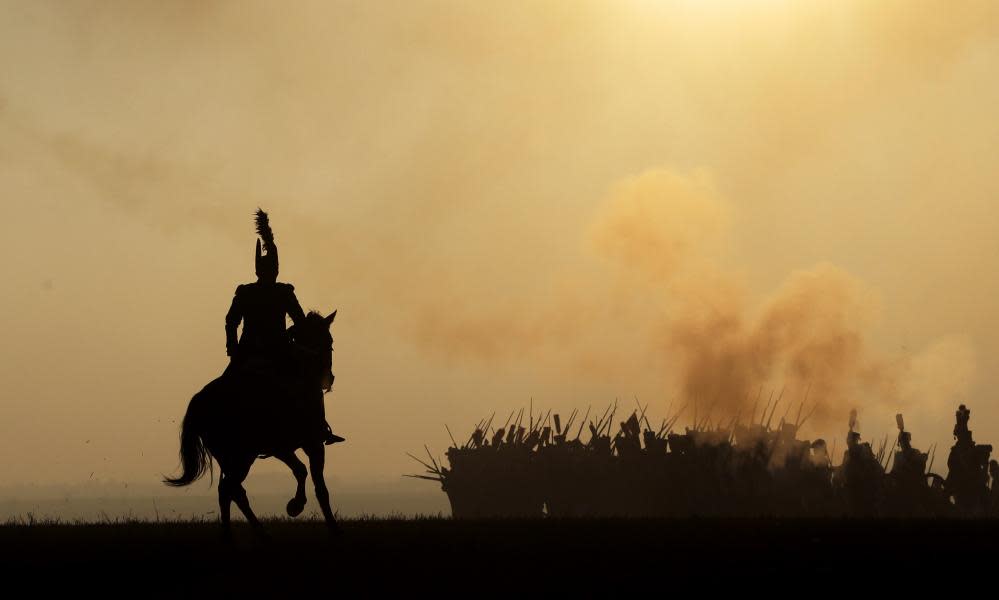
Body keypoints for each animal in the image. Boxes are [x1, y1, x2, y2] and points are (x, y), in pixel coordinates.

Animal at [162, 310, 338, 540]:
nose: (329, 379)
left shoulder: (281, 448)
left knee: (229, 491)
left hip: (229, 456)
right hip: (241, 457)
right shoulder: (313, 443)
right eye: (330, 342)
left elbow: (300, 470)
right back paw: (255, 534)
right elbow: (319, 486)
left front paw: (295, 505)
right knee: (232, 489)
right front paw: (323, 521)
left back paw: (235, 534)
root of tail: (200, 400)